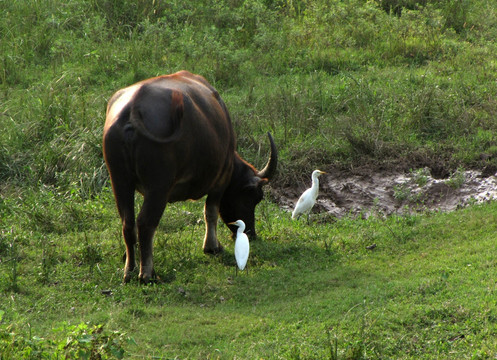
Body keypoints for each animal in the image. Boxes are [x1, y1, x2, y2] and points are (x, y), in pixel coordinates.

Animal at [102, 70, 278, 282]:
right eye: (254, 197)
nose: (251, 234)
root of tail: (132, 110)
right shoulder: (221, 178)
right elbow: (211, 211)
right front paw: (212, 246)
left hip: (119, 181)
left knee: (128, 223)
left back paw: (129, 270)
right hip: (158, 186)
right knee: (145, 223)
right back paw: (147, 274)